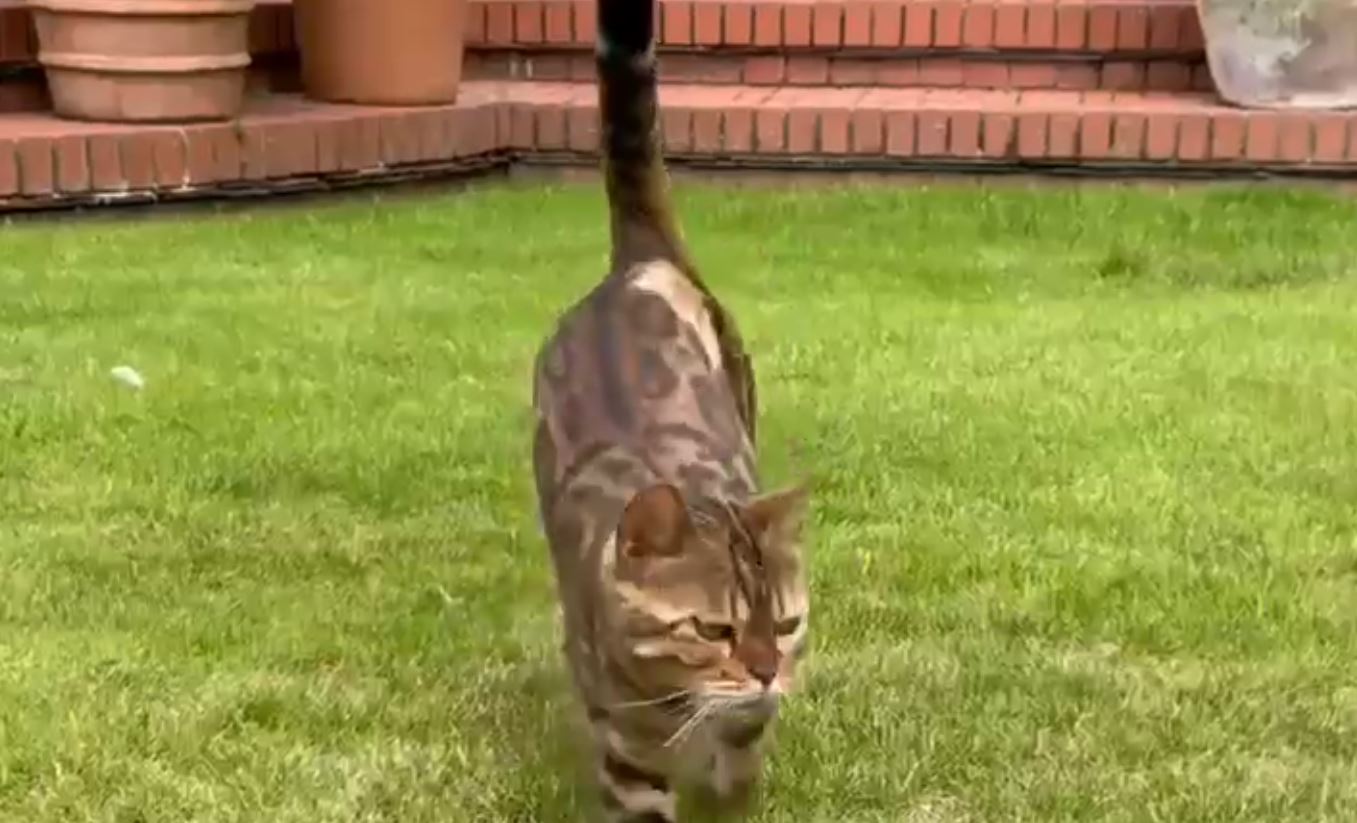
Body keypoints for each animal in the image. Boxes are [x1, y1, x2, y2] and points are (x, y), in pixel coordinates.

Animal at [529, 0, 811, 820]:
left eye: (786, 623)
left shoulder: (747, 726)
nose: (765, 671)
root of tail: (639, 262)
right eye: (713, 628)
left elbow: (739, 774)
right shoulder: (628, 751)